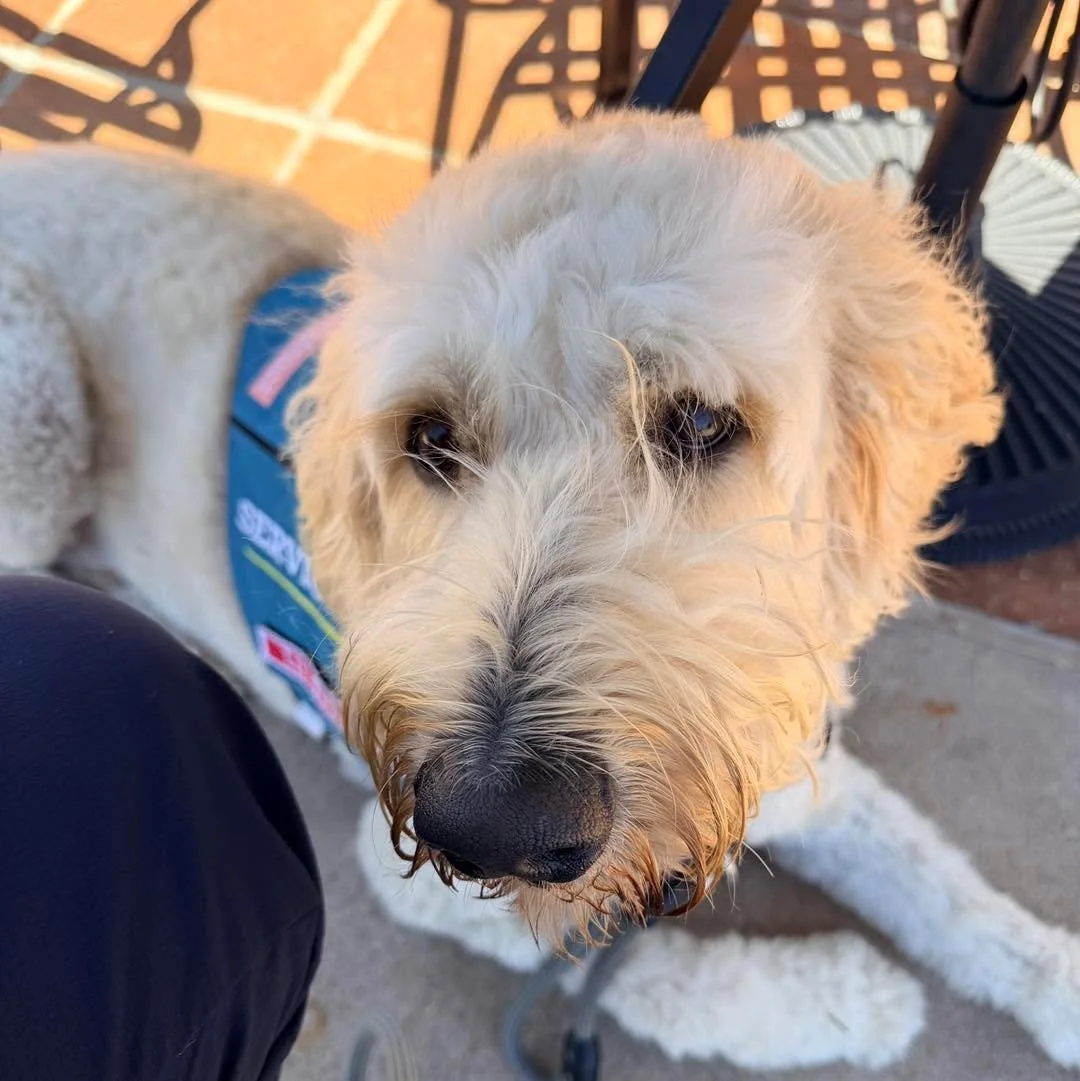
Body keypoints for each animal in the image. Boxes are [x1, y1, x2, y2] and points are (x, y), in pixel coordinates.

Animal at [2, 111, 1078, 1069]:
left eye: (699, 421)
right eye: (430, 436)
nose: (494, 827)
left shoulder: (797, 758)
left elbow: (936, 877)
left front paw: (1056, 982)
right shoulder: (411, 873)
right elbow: (664, 975)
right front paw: (838, 1001)